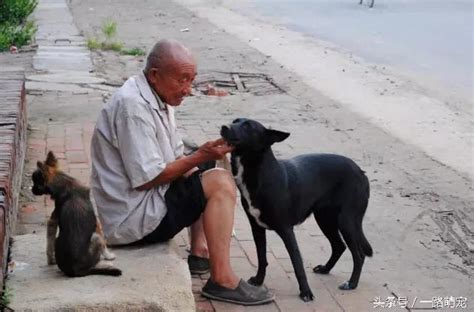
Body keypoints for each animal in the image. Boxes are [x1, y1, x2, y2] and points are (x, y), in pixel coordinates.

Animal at [222, 118, 374, 302]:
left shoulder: (287, 230)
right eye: (235, 121)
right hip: (325, 219)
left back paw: (351, 283)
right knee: (339, 246)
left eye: (248, 126)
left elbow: (297, 264)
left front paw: (306, 292)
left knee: (358, 255)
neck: (260, 174)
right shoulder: (256, 228)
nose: (224, 127)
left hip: (346, 221)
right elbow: (262, 257)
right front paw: (258, 280)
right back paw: (326, 269)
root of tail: (361, 172)